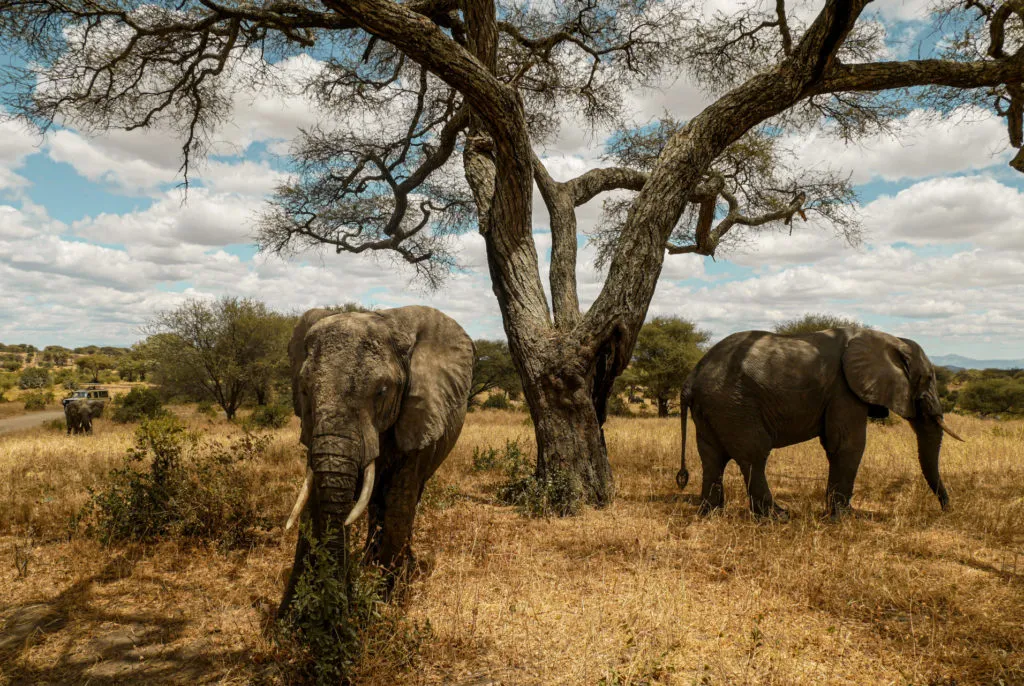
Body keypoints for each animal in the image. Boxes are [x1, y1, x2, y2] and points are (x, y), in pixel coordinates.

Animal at [278, 303, 473, 614]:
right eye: (305, 391)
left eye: (381, 391)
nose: (343, 602)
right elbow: (316, 497)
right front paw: (292, 614)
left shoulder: (418, 417)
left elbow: (399, 501)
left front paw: (383, 604)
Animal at [675, 329, 962, 522]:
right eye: (928, 378)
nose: (946, 509)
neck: (887, 338)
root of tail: (692, 376)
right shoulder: (844, 389)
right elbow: (847, 445)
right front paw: (844, 518)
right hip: (733, 404)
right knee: (754, 454)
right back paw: (778, 517)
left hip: (714, 407)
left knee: (712, 456)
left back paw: (710, 513)